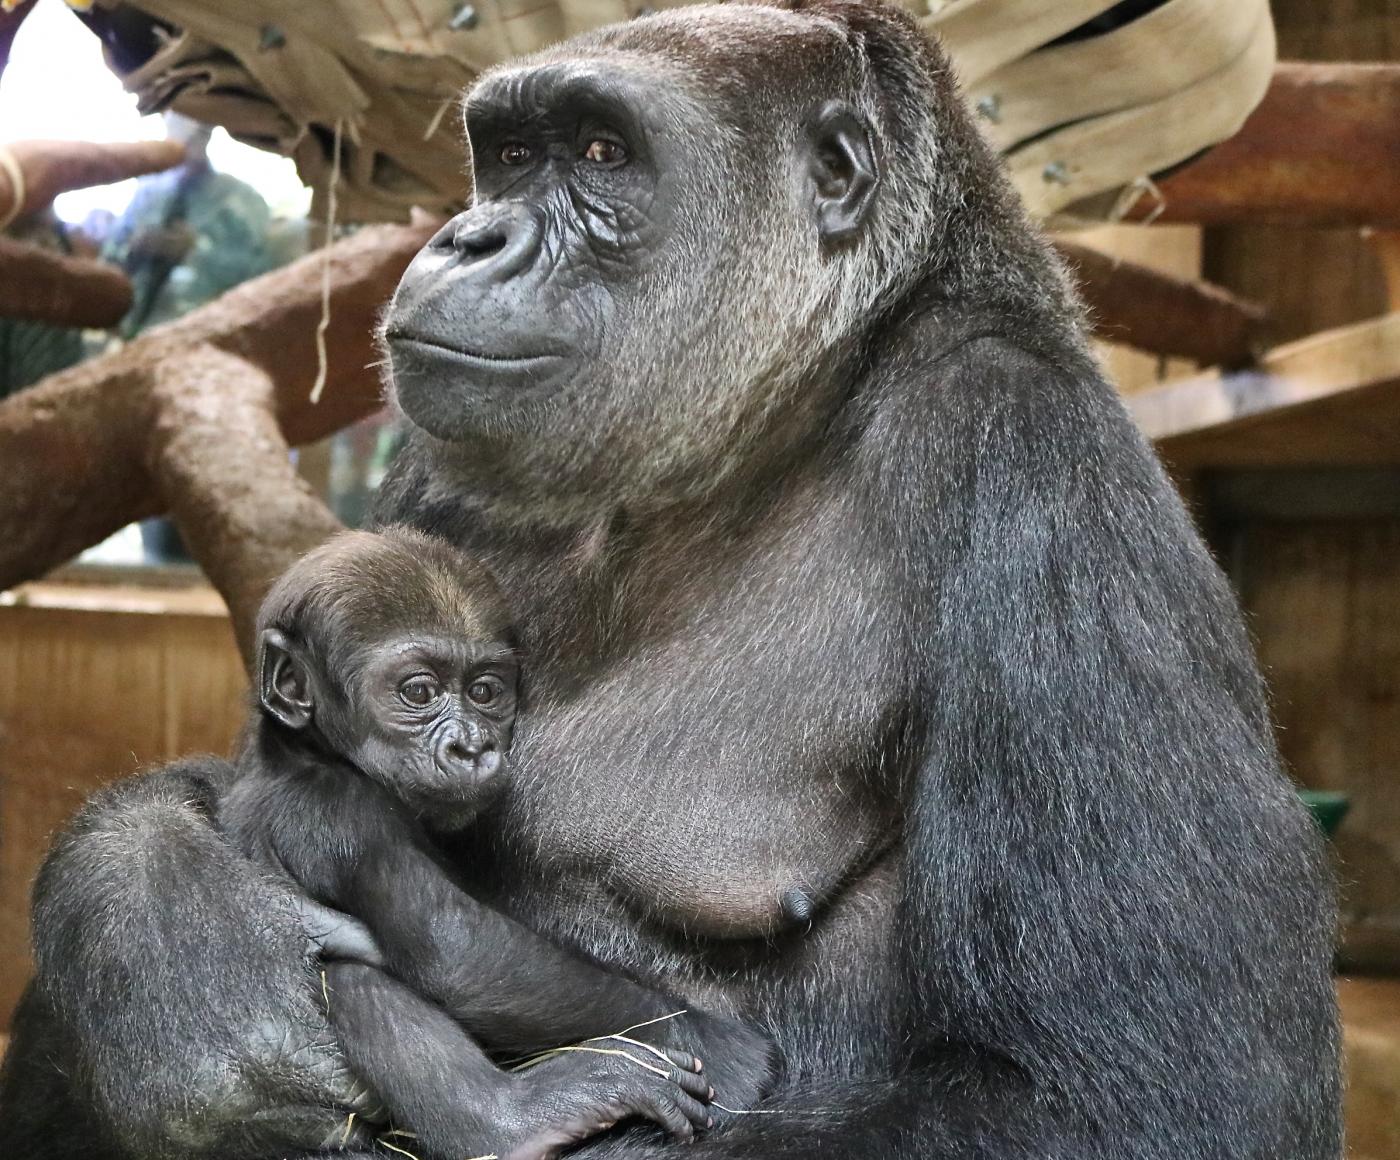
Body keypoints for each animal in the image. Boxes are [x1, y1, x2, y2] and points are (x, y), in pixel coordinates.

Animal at [217, 531, 772, 1158]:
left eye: (485, 691)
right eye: (419, 691)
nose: (473, 746)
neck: (308, 752)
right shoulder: (342, 814)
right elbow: (456, 947)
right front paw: (710, 1041)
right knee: (351, 976)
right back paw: (514, 1120)